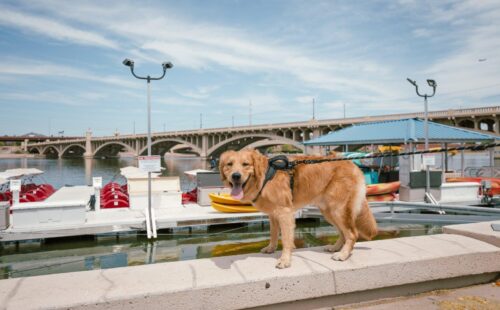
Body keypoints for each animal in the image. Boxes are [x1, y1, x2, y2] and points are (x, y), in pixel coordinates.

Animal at [221, 149, 376, 268]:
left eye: (245, 164)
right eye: (229, 164)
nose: (236, 176)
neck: (265, 178)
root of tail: (352, 164)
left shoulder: (285, 213)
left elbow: (286, 240)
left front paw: (285, 260)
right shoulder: (273, 214)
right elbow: (273, 234)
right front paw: (271, 248)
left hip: (338, 209)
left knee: (352, 233)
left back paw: (343, 254)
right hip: (329, 211)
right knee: (343, 232)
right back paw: (335, 248)